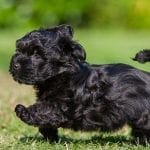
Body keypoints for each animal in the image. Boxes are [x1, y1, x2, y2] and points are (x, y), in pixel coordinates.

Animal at [9, 24, 150, 144]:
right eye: (18, 50)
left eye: (37, 54)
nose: (15, 64)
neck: (61, 73)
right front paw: (51, 135)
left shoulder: (64, 106)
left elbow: (44, 110)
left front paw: (23, 110)